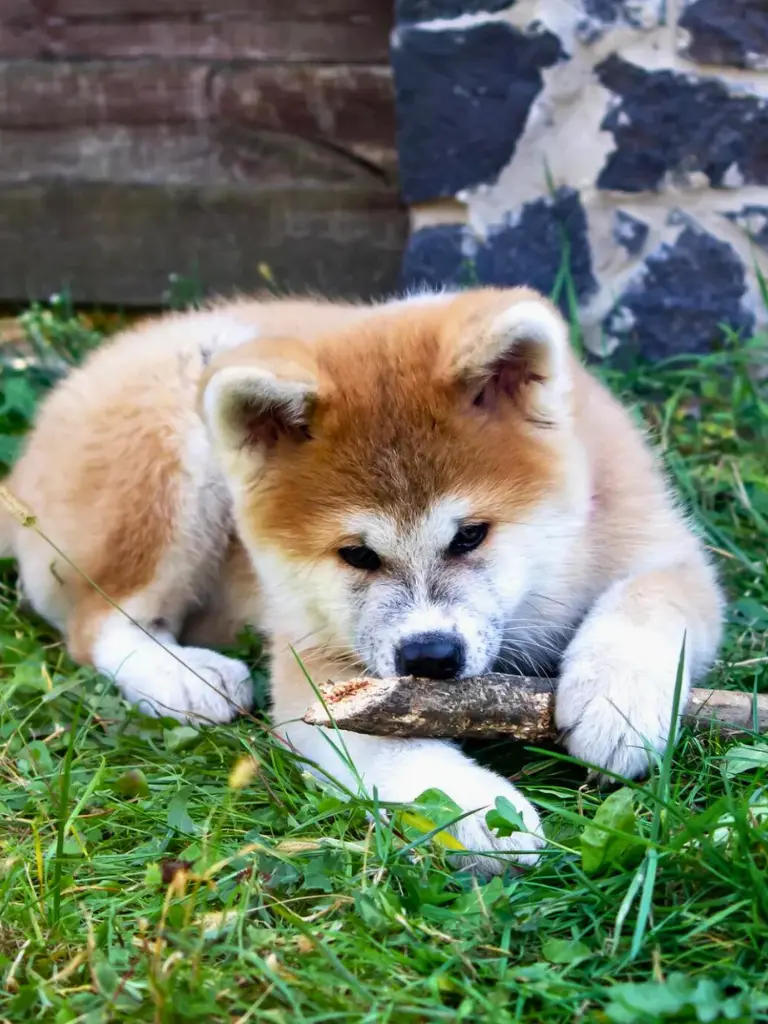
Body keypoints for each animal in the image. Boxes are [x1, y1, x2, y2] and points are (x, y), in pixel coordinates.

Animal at [0, 288, 724, 872]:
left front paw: (618, 704)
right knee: (96, 622)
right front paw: (475, 808)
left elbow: (648, 600)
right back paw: (184, 676)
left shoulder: (663, 547)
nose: (428, 657)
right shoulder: (317, 668)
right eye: (356, 555)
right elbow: (391, 752)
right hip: (171, 450)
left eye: (470, 535)